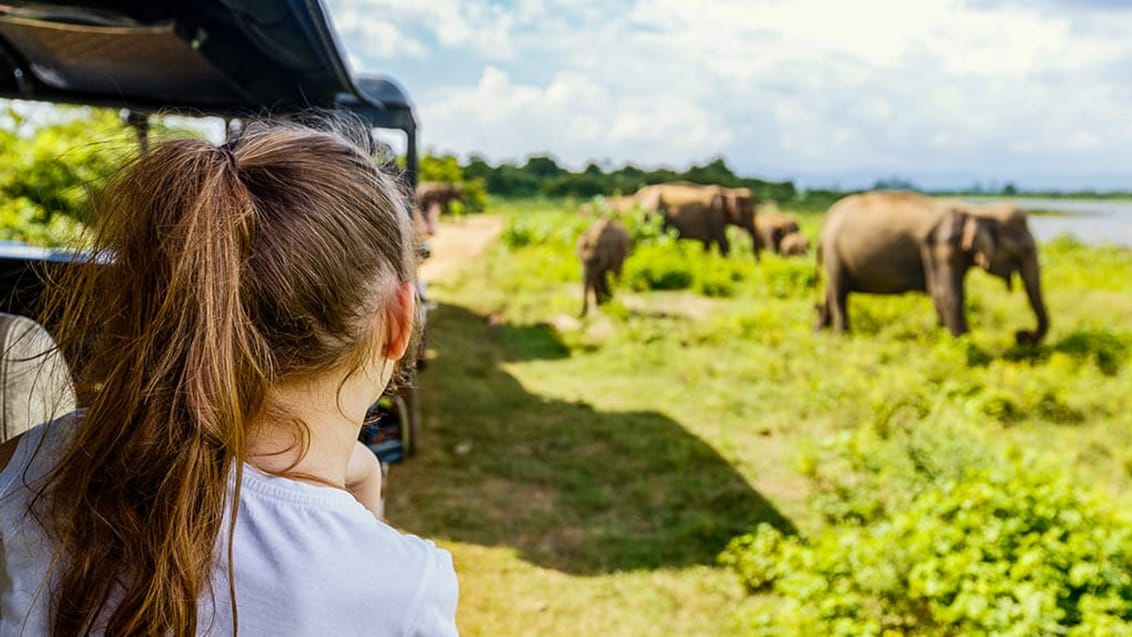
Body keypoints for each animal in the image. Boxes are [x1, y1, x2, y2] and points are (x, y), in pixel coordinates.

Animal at [815, 191, 1050, 343]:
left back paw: (819, 330)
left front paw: (942, 337)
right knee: (839, 293)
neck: (976, 210)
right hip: (835, 253)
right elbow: (946, 294)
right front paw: (963, 344)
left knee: (831, 290)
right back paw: (841, 337)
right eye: (1024, 250)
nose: (1021, 335)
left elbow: (945, 295)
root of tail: (826, 219)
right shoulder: (940, 247)